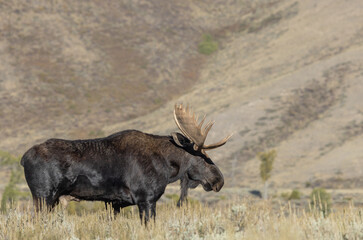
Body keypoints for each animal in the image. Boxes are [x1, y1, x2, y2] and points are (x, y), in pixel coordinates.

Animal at [21, 104, 232, 222]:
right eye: (202, 156)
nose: (219, 180)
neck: (166, 168)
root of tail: (23, 159)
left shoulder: (115, 204)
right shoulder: (146, 199)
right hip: (43, 196)